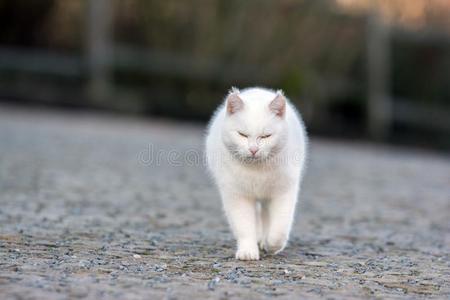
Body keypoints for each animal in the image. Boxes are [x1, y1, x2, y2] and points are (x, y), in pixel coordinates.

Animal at [206, 86, 308, 260]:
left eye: (266, 136)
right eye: (242, 134)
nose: (253, 150)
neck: (257, 170)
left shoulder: (284, 192)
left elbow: (279, 228)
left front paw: (271, 246)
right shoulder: (237, 195)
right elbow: (244, 225)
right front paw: (248, 251)